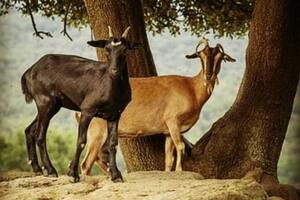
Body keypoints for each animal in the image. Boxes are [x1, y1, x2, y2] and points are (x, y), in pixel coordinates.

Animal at [21, 25, 139, 182]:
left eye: (125, 50)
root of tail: (29, 71)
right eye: (107, 49)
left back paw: (37, 169)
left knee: (30, 130)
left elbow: (113, 144)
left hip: (52, 105)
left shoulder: (115, 114)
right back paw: (51, 170)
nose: (114, 71)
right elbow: (81, 141)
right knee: (40, 135)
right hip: (44, 101)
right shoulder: (87, 110)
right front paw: (72, 174)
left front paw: (116, 176)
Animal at [76, 38, 236, 175]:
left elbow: (168, 157)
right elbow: (181, 146)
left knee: (97, 158)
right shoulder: (173, 121)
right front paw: (179, 171)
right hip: (97, 132)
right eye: (200, 55)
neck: (191, 88)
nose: (208, 75)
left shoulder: (167, 132)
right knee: (86, 164)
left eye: (220, 57)